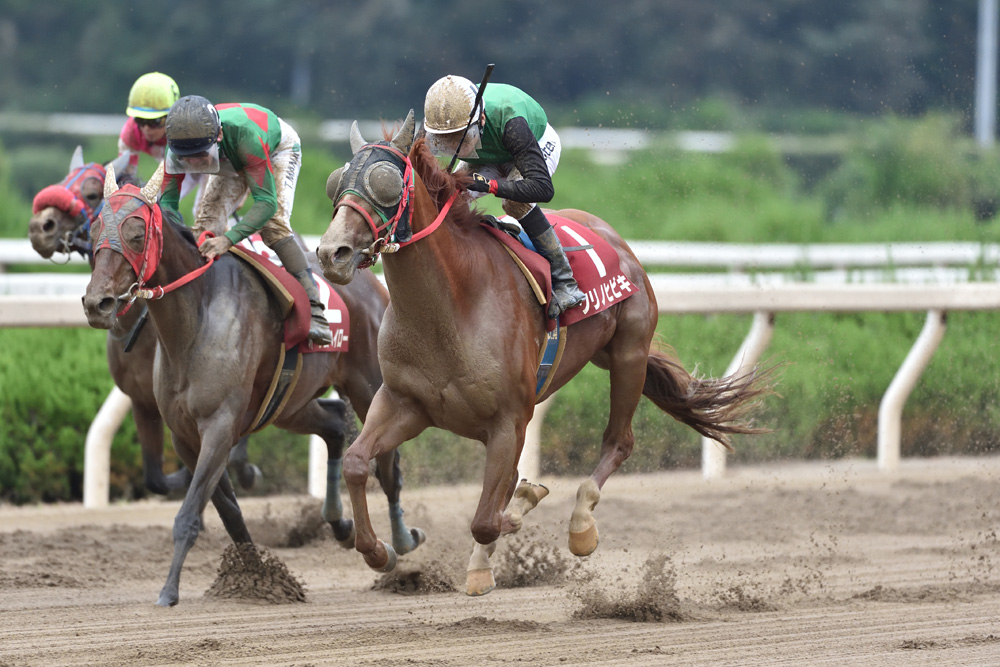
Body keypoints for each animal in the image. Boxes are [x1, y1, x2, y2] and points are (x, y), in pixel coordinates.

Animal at [27, 151, 262, 496]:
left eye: (92, 193)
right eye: (63, 179)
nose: (39, 226)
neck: (139, 327)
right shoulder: (142, 401)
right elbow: (155, 478)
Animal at [80, 164, 420, 608]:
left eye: (137, 233)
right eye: (94, 230)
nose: (97, 303)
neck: (193, 320)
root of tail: (370, 284)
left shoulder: (219, 425)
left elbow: (190, 514)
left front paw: (169, 591)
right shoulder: (186, 436)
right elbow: (228, 512)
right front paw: (258, 575)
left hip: (369, 386)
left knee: (388, 467)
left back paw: (398, 542)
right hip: (289, 403)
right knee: (332, 425)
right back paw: (341, 524)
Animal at [320, 112, 772, 596]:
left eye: (385, 182)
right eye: (336, 182)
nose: (331, 253)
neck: (452, 307)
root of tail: (613, 237)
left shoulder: (510, 419)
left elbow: (488, 517)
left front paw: (521, 506)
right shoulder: (403, 403)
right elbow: (357, 462)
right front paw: (378, 551)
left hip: (629, 352)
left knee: (619, 441)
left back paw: (580, 525)